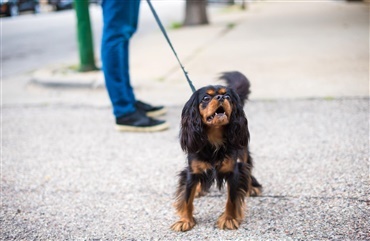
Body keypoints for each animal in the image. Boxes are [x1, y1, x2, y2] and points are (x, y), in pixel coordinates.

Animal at [171, 71, 262, 232]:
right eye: (206, 98)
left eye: (228, 97)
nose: (220, 97)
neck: (213, 139)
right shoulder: (191, 171)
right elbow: (187, 197)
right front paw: (185, 220)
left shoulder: (233, 171)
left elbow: (231, 199)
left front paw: (229, 219)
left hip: (243, 151)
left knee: (248, 166)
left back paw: (252, 187)